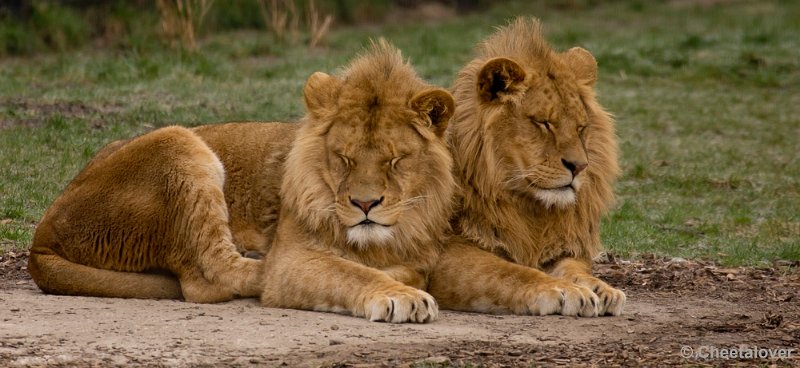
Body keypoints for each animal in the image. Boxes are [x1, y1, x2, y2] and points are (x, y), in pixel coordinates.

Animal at [428, 17, 628, 316]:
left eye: (581, 127)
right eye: (544, 123)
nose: (579, 166)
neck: (527, 207)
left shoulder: (559, 247)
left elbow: (576, 268)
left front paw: (601, 289)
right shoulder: (440, 254)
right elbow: (508, 272)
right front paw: (565, 290)